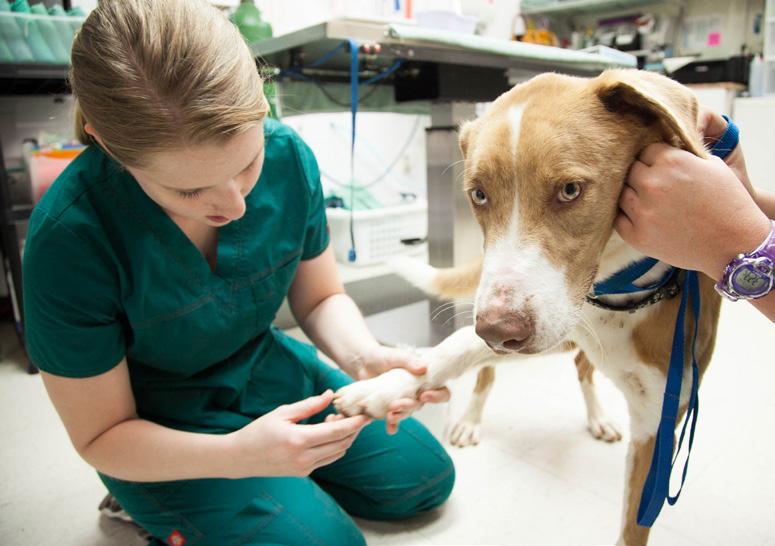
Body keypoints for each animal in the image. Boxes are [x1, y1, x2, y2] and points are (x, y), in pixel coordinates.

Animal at [333, 68, 722, 546]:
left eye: (570, 190)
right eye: (478, 195)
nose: (498, 332)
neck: (616, 294)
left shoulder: (658, 422)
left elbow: (633, 528)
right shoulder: (549, 325)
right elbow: (454, 347)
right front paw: (386, 386)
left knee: (582, 370)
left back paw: (597, 417)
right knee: (492, 371)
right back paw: (470, 419)